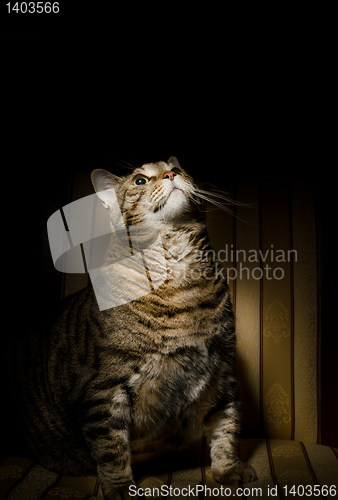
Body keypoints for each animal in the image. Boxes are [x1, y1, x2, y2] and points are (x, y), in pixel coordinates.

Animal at [7, 157, 256, 500]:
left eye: (178, 168)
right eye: (140, 180)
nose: (170, 173)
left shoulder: (223, 370)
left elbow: (226, 427)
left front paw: (228, 469)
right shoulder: (103, 392)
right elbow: (112, 450)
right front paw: (122, 489)